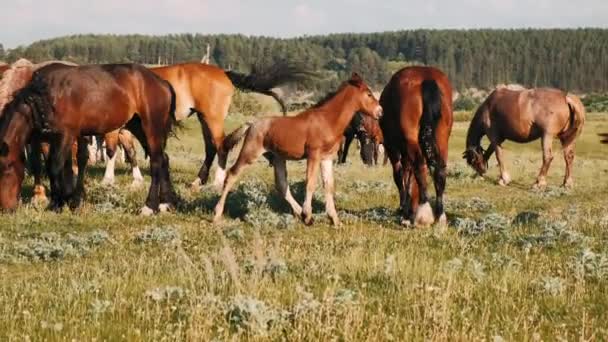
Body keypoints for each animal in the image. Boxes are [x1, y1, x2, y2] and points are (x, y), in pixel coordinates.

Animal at [0, 62, 176, 214]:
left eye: (6, 167)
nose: (5, 208)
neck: (45, 96)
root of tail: (162, 82)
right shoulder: (47, 138)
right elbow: (58, 167)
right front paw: (66, 200)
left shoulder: (66, 135)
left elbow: (55, 167)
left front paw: (58, 203)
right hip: (138, 127)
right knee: (163, 158)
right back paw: (165, 203)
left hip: (151, 126)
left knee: (156, 162)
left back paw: (149, 206)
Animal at [213, 73, 380, 226]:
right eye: (369, 94)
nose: (380, 111)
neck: (327, 120)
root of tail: (251, 124)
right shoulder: (314, 155)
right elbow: (310, 183)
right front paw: (309, 213)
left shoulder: (327, 158)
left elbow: (329, 185)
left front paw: (334, 220)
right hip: (250, 153)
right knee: (231, 174)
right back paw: (217, 214)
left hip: (277, 157)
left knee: (282, 185)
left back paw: (303, 216)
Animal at [380, 66, 452, 227]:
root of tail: (426, 77)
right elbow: (409, 174)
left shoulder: (392, 147)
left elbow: (400, 175)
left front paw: (405, 211)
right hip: (442, 138)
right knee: (439, 171)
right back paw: (440, 216)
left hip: (410, 140)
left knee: (418, 166)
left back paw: (423, 212)